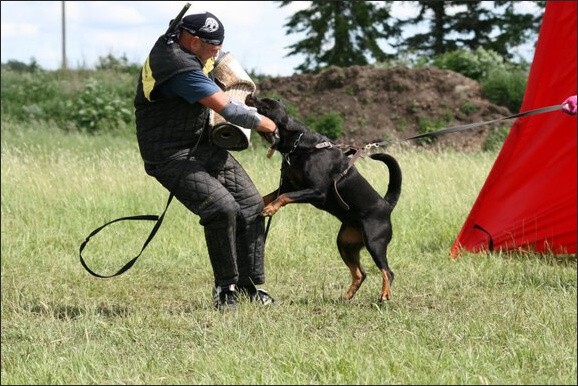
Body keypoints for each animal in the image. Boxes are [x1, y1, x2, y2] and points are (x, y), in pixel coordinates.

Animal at [244, 94, 400, 302]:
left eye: (265, 104)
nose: (250, 95)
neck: (299, 146)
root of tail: (386, 205)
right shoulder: (288, 185)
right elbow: (268, 196)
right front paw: (260, 204)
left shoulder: (315, 191)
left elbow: (284, 197)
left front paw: (270, 209)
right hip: (345, 244)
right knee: (360, 273)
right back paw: (346, 296)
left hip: (375, 242)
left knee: (387, 271)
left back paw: (384, 294)